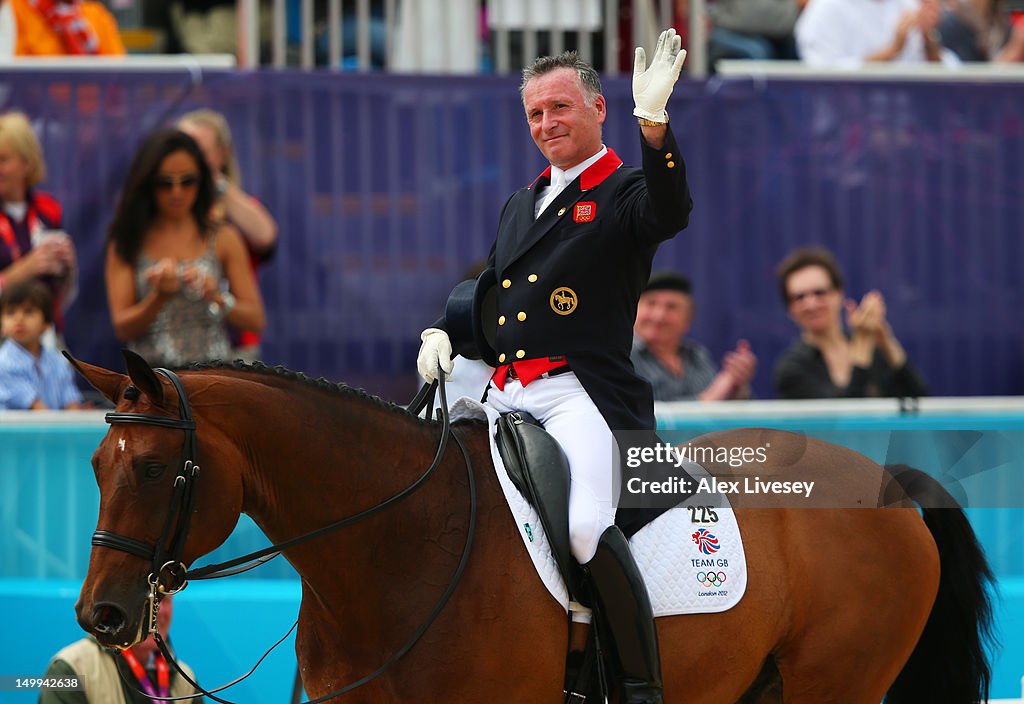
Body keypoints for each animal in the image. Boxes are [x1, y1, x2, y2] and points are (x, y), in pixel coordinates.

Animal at [70, 352, 991, 704]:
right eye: (97, 466)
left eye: (153, 470)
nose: (100, 615)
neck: (392, 548)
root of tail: (888, 483)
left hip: (837, 681)